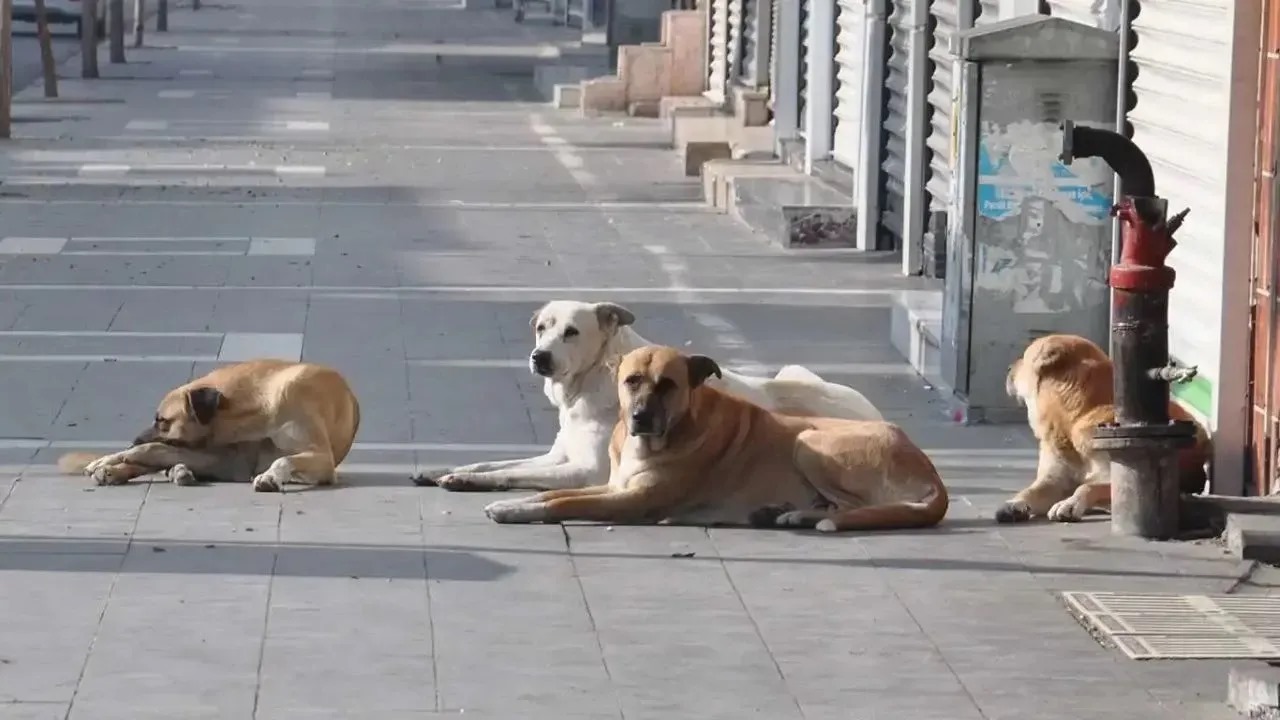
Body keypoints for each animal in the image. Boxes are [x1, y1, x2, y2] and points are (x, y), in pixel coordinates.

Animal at [57, 356, 360, 489]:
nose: (133, 439)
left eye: (162, 420)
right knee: (156, 458)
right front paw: (109, 459)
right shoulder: (224, 456)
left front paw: (271, 476)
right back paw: (114, 469)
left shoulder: (322, 459)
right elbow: (149, 450)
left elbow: (283, 459)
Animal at [414, 298, 885, 491]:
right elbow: (495, 462)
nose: (539, 357)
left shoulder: (586, 471)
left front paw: (467, 481)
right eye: (541, 328)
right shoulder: (557, 455)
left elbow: (510, 474)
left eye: (572, 332)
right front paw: (445, 470)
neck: (590, 382)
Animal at [481, 345, 952, 530]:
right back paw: (786, 513)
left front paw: (513, 511)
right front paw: (514, 503)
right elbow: (549, 495)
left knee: (855, 508)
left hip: (810, 442)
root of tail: (932, 475)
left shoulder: (630, 500)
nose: (640, 417)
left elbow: (562, 503)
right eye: (632, 381)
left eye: (668, 384)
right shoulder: (614, 486)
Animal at [993, 330, 1213, 520]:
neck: (1077, 417)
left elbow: (1088, 486)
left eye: (1024, 357)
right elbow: (1031, 490)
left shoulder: (1119, 477)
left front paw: (1070, 503)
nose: (1008, 368)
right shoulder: (1053, 480)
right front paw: (1014, 503)